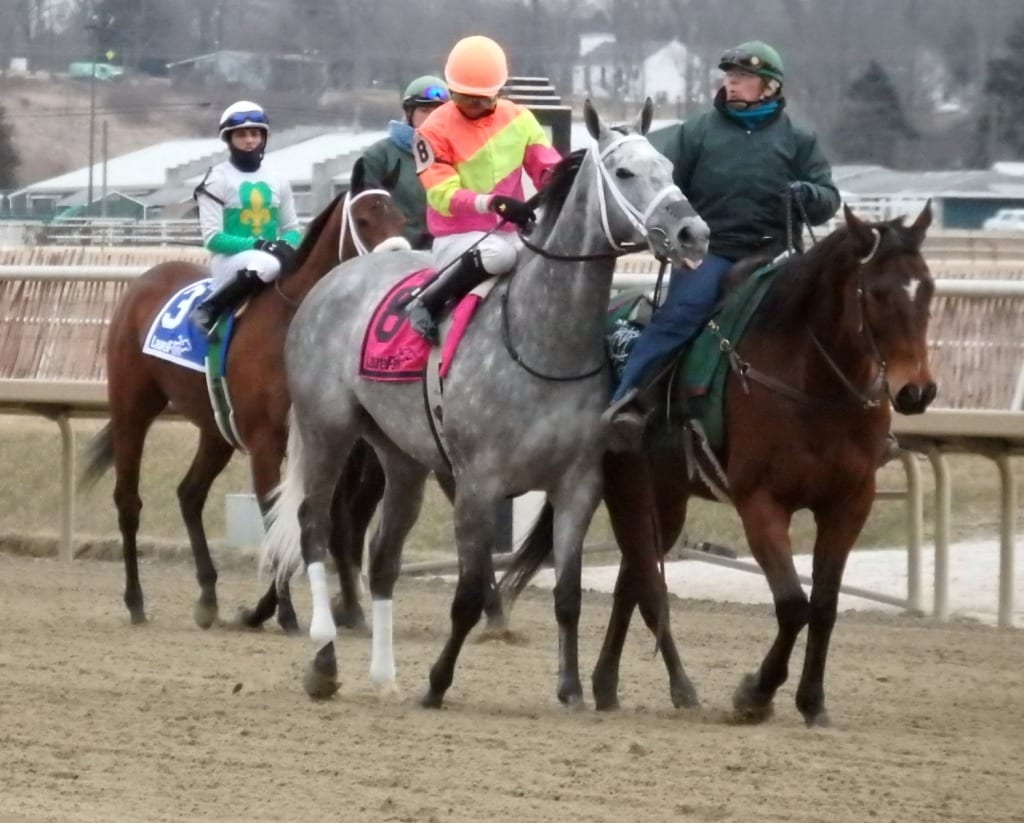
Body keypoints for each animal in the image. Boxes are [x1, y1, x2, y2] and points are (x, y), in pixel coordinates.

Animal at [80, 165, 407, 630]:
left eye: (401, 218)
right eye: (364, 219)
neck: (293, 324)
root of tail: (144, 280)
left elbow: (326, 519)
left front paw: (328, 610)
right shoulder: (266, 441)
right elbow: (274, 514)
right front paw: (282, 609)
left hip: (215, 428)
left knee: (190, 493)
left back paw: (208, 597)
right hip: (132, 409)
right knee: (128, 500)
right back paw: (136, 600)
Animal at [264, 101, 708, 708]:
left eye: (668, 166)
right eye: (624, 173)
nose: (693, 233)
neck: (543, 343)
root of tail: (334, 280)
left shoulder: (578, 485)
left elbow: (568, 594)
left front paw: (571, 690)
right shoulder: (476, 484)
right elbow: (469, 593)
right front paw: (437, 683)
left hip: (401, 454)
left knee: (384, 555)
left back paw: (383, 675)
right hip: (326, 429)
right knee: (313, 527)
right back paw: (325, 660)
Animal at [499, 200, 937, 724]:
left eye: (928, 288)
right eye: (875, 293)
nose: (916, 391)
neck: (812, 384)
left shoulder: (850, 503)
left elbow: (825, 606)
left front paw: (812, 702)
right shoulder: (760, 502)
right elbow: (793, 604)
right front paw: (755, 694)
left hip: (666, 497)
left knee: (633, 581)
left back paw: (608, 685)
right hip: (626, 487)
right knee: (646, 582)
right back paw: (660, 686)